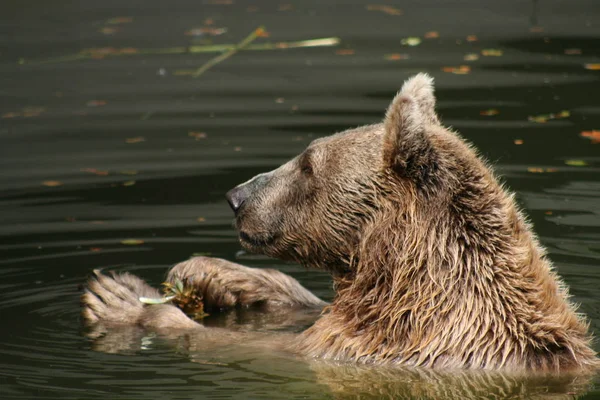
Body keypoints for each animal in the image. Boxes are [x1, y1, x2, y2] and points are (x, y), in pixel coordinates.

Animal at [82, 73, 596, 374]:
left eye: (308, 164)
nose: (237, 197)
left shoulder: (386, 345)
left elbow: (264, 349)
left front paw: (123, 300)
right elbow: (310, 308)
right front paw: (210, 272)